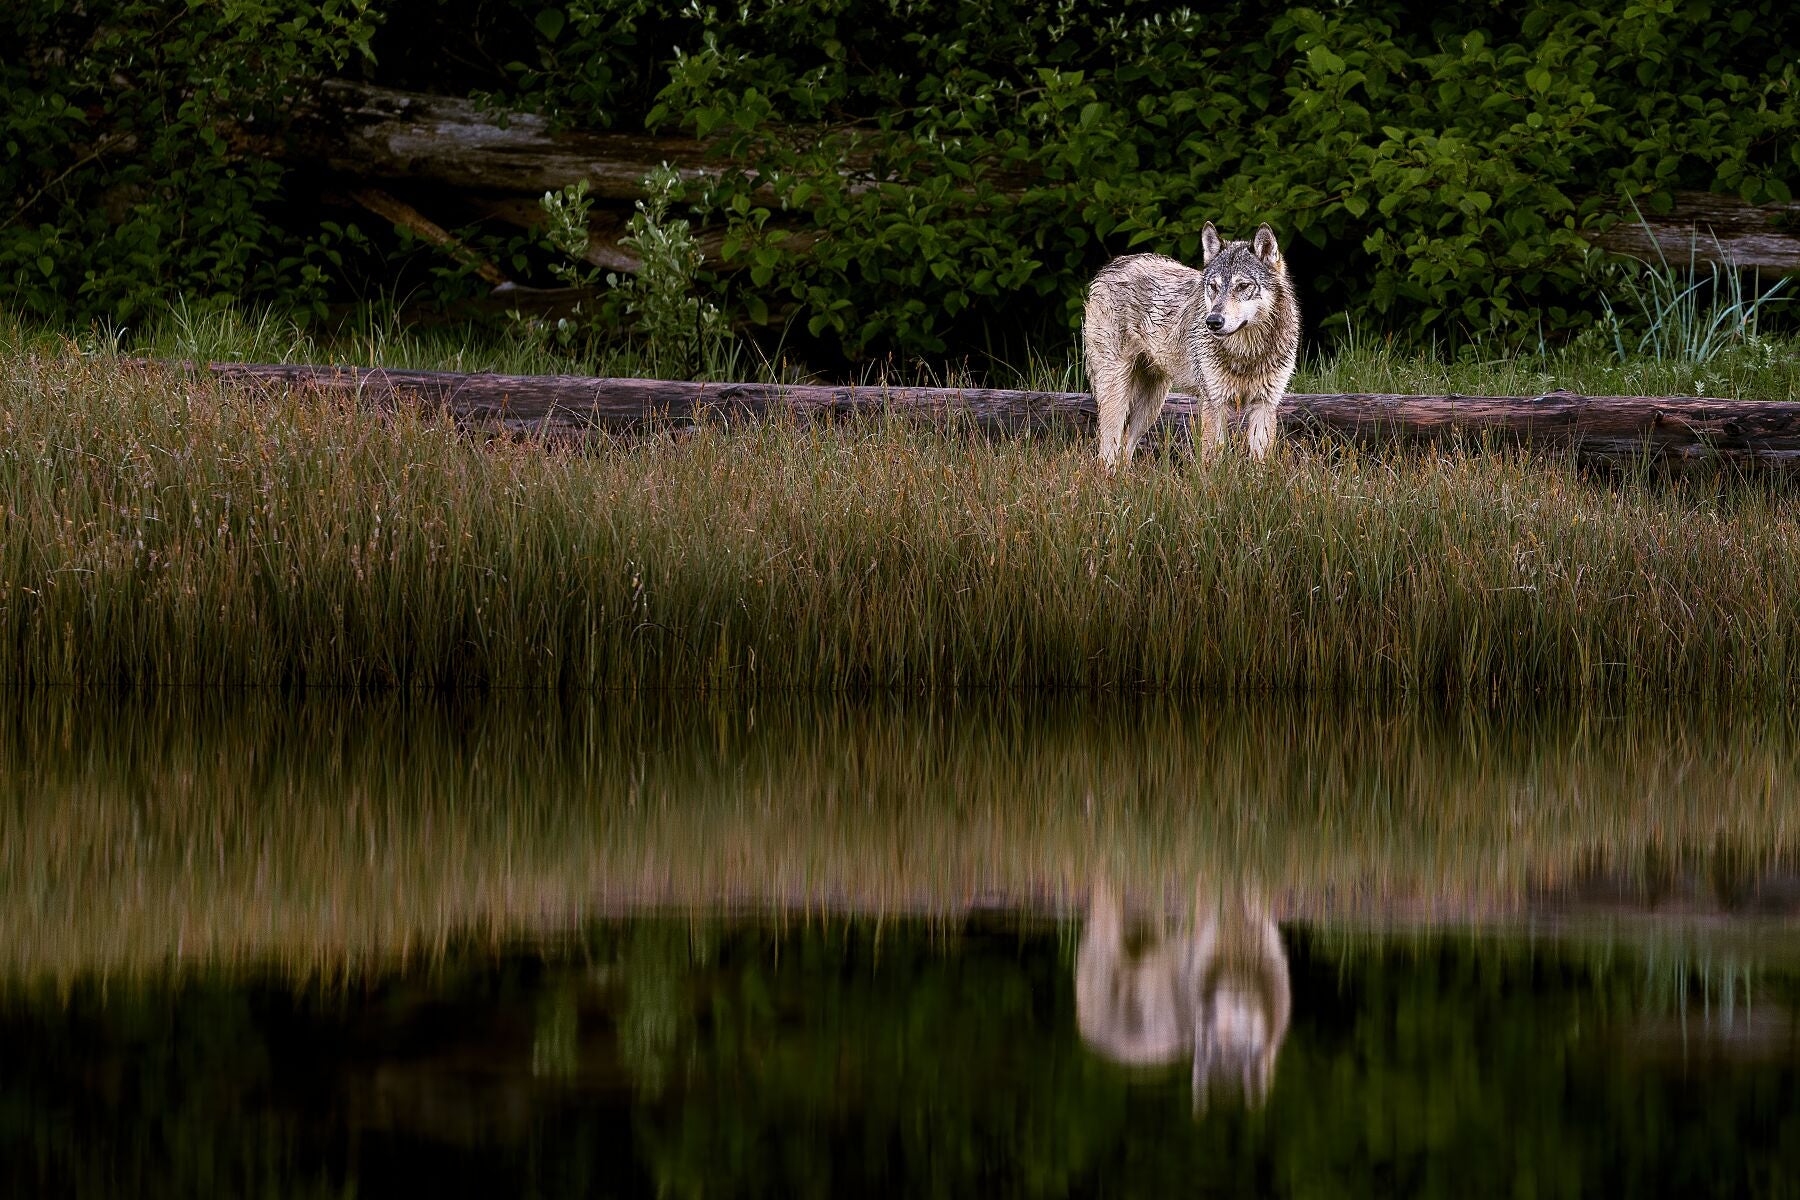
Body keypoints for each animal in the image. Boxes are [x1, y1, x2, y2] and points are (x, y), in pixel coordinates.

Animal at [1080, 223, 1296, 467]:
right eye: (1213, 286)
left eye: (1243, 286)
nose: (1213, 321)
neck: (1247, 353)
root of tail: (1111, 266)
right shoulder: (1214, 404)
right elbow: (1213, 462)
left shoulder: (1265, 404)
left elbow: (1260, 464)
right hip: (1117, 397)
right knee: (1107, 452)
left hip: (1151, 405)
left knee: (1125, 447)